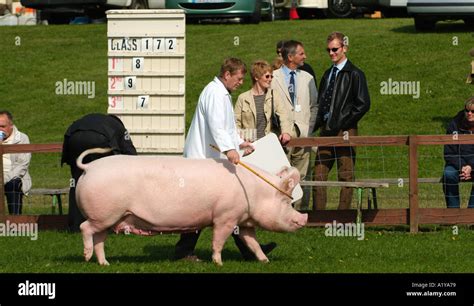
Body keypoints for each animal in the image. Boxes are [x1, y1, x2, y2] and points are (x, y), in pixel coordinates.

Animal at [74, 147, 308, 264]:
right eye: (287, 202)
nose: (304, 219)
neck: (254, 192)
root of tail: (89, 168)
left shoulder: (243, 220)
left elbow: (252, 242)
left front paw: (265, 261)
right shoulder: (225, 216)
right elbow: (218, 240)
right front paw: (218, 263)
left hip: (111, 217)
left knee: (99, 239)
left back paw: (104, 264)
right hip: (105, 214)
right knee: (85, 228)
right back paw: (85, 257)